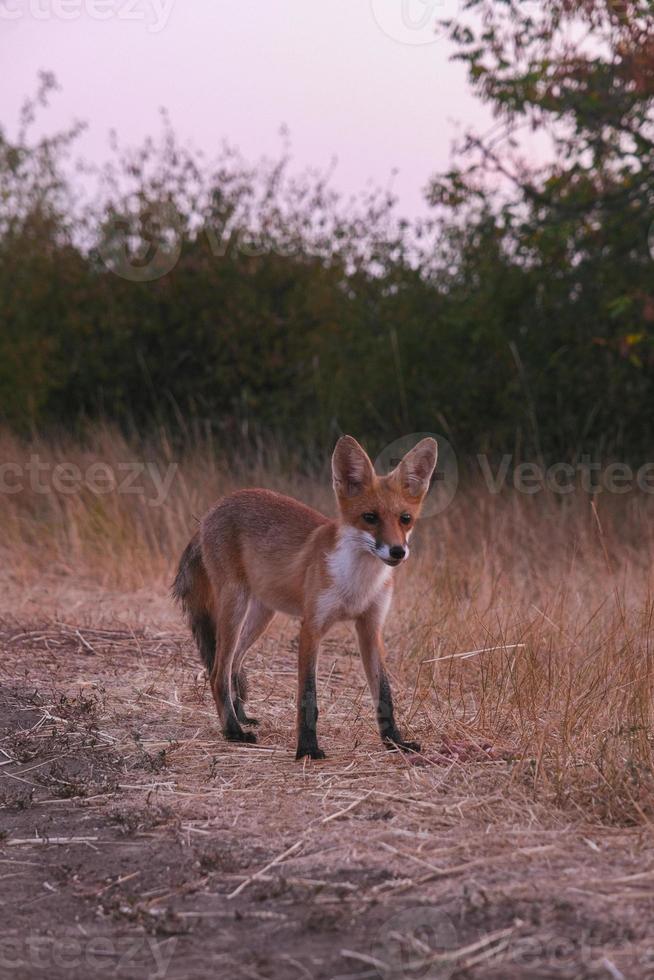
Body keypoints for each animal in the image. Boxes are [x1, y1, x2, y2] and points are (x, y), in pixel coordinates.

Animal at [174, 432, 440, 760]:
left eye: (405, 519)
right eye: (370, 517)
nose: (397, 551)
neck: (356, 584)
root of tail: (212, 509)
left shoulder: (370, 627)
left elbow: (385, 694)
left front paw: (395, 742)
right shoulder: (311, 627)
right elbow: (308, 696)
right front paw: (308, 748)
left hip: (261, 616)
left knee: (234, 665)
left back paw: (241, 716)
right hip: (234, 607)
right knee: (217, 673)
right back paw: (233, 730)